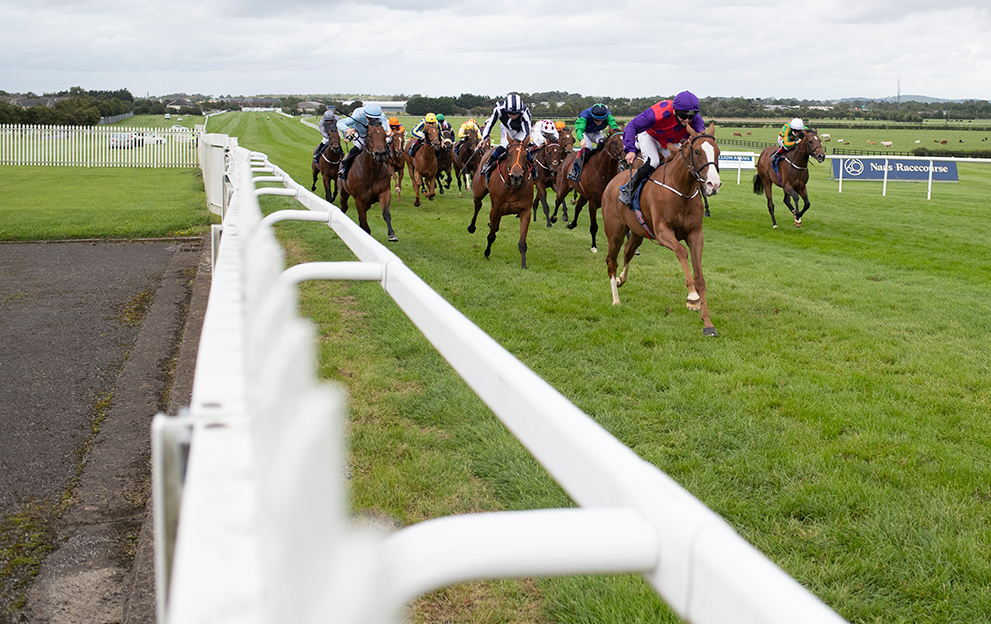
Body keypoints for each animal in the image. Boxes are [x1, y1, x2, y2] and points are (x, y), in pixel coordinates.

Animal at [466, 139, 536, 268]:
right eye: (509, 155)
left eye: (525, 156)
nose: (516, 176)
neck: (512, 187)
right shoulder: (495, 209)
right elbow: (491, 236)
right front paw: (486, 253)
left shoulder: (525, 212)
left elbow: (522, 242)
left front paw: (523, 265)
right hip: (478, 191)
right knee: (478, 205)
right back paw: (472, 227)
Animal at [600, 123, 724, 336]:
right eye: (697, 151)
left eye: (718, 152)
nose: (713, 184)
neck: (680, 189)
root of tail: (612, 182)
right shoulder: (663, 232)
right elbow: (681, 251)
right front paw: (692, 297)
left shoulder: (695, 235)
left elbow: (700, 277)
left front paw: (707, 323)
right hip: (615, 234)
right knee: (611, 262)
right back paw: (616, 299)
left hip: (637, 233)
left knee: (628, 252)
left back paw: (621, 279)